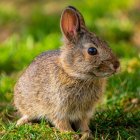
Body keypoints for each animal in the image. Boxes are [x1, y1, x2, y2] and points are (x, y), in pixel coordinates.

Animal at [13, 5, 119, 140]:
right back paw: (21, 122)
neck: (74, 74)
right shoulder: (57, 108)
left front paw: (86, 134)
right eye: (92, 50)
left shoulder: (84, 113)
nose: (117, 65)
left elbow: (83, 123)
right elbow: (61, 123)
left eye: (106, 43)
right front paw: (71, 134)